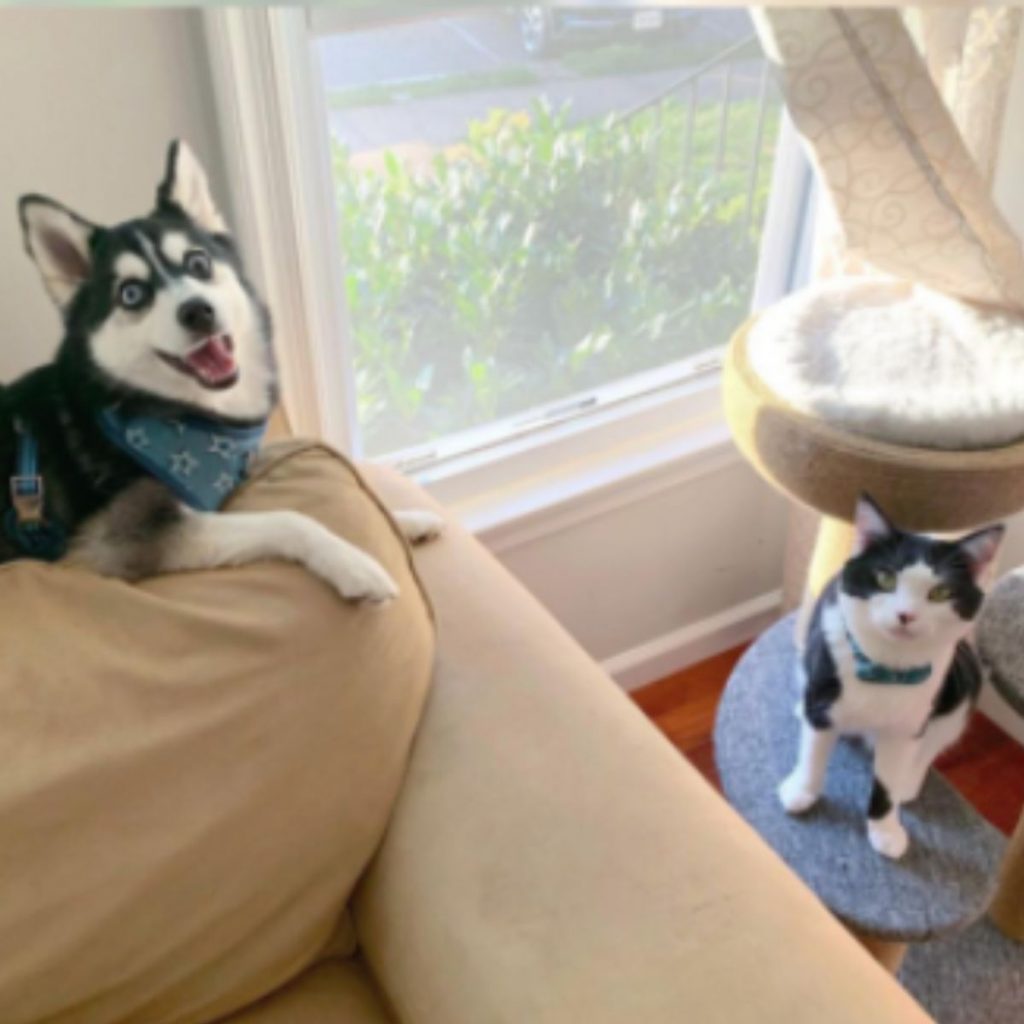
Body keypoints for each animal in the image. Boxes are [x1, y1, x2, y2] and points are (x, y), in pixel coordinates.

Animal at [1, 140, 440, 598]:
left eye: (198, 264)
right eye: (132, 294)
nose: (198, 311)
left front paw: (403, 520)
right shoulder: (119, 541)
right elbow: (289, 518)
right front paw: (353, 563)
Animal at [778, 493, 1003, 856]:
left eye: (941, 593)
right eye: (886, 579)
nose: (906, 615)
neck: (886, 668)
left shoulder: (908, 724)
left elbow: (889, 779)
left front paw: (885, 830)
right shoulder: (826, 685)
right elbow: (814, 748)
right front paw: (801, 792)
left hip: (963, 680)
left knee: (934, 740)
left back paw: (909, 782)